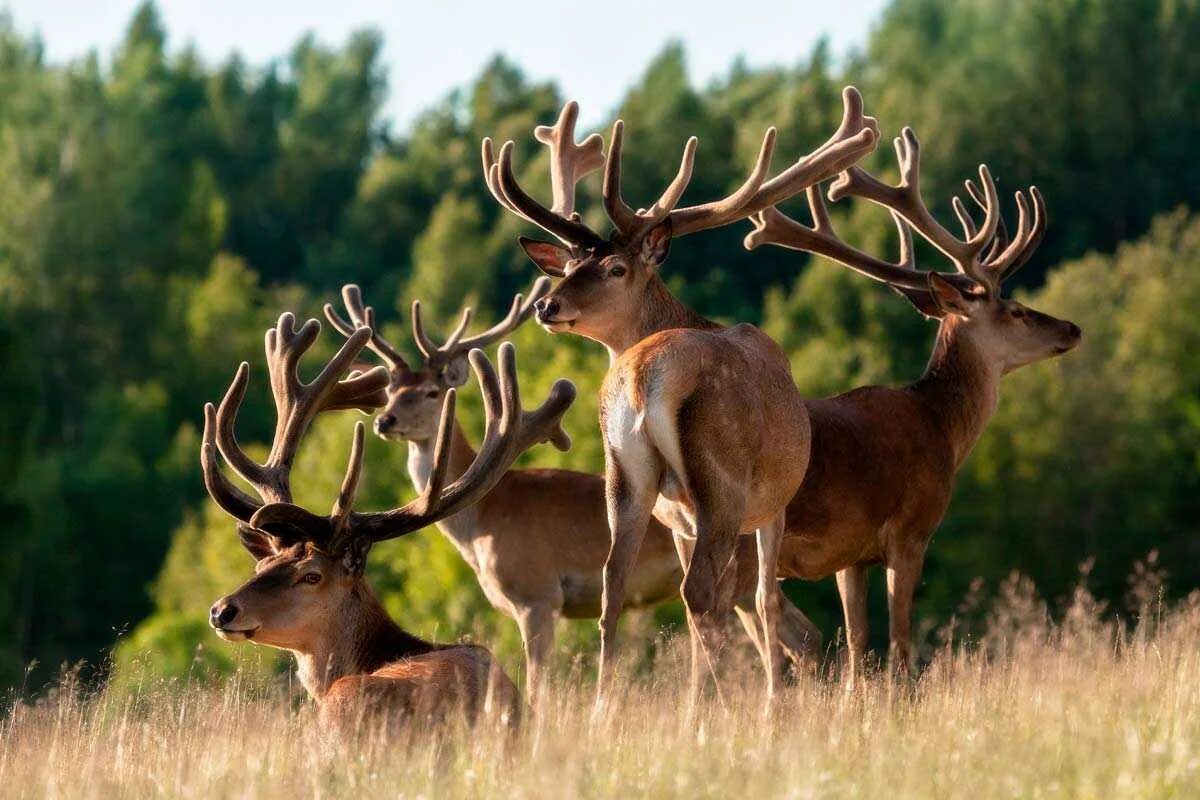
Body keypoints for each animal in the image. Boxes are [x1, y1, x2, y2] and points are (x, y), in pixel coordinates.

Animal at [319, 281, 825, 700]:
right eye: (389, 391)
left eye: (429, 392)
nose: (385, 421)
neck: (482, 524)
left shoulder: (538, 595)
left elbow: (538, 685)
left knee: (789, 630)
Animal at [480, 92, 883, 705]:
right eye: (571, 265)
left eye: (613, 267)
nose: (547, 306)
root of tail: (644, 376)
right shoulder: (773, 504)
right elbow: (763, 600)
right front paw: (772, 703)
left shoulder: (678, 521)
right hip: (722, 481)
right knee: (702, 595)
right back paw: (717, 707)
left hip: (627, 474)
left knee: (614, 585)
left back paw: (607, 707)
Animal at [744, 126, 1084, 690]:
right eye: (1015, 310)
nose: (1072, 328)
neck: (941, 428)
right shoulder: (911, 531)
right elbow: (900, 646)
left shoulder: (852, 554)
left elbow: (858, 645)